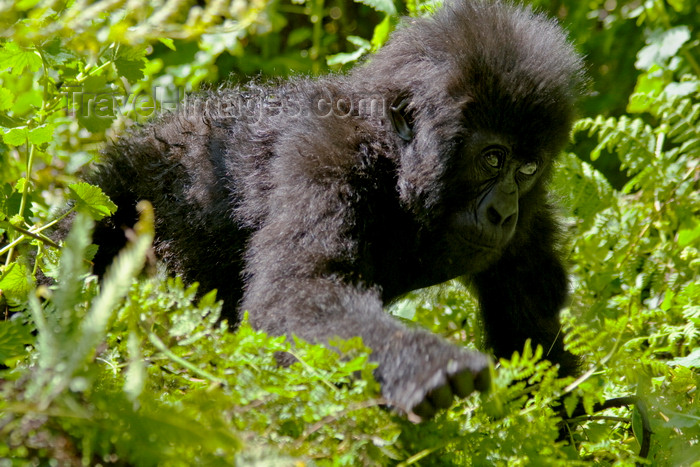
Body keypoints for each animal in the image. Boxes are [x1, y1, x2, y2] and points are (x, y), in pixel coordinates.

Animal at [91, 0, 584, 416]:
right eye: (493, 159)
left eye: (527, 168)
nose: (503, 213)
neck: (390, 159)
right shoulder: (325, 154)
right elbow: (298, 293)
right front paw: (423, 363)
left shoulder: (529, 222)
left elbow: (537, 344)